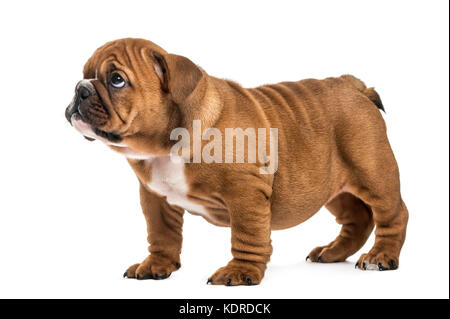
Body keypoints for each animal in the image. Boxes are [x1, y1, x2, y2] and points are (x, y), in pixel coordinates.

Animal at [66, 38, 408, 288]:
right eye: (83, 74)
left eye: (117, 80)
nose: (80, 89)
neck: (163, 146)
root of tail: (354, 86)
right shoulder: (155, 198)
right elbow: (161, 233)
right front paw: (156, 265)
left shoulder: (245, 194)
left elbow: (247, 235)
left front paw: (240, 272)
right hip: (332, 187)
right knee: (358, 219)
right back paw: (332, 252)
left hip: (373, 173)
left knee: (393, 215)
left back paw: (380, 256)